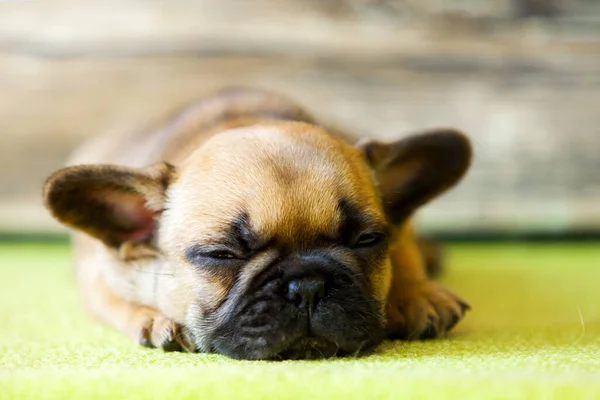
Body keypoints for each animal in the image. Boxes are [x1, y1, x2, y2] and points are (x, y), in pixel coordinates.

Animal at [43, 87, 474, 360]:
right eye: (222, 255)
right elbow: (113, 301)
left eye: (367, 240)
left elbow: (404, 248)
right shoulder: (99, 273)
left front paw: (417, 293)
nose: (308, 286)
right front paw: (151, 317)